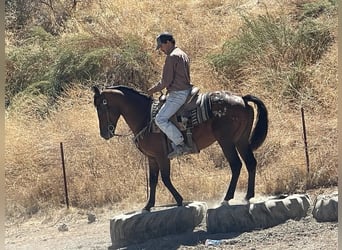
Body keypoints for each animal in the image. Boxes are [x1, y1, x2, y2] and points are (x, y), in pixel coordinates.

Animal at [92, 84, 268, 211]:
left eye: (101, 106)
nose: (104, 134)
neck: (145, 117)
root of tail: (242, 99)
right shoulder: (152, 158)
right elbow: (153, 180)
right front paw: (148, 206)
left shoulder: (162, 157)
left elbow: (165, 179)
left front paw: (179, 200)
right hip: (241, 141)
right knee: (251, 163)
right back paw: (248, 196)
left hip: (226, 142)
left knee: (236, 165)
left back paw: (227, 198)